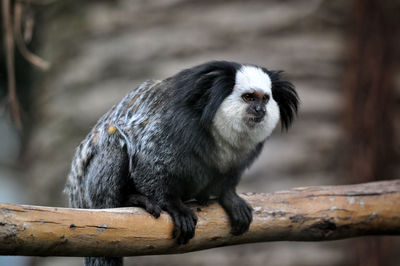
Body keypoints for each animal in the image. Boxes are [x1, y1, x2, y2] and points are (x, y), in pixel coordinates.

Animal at [64, 60, 298, 266]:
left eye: (265, 98)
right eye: (249, 97)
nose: (260, 110)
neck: (216, 130)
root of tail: (77, 199)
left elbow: (228, 177)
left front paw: (229, 197)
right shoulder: (174, 125)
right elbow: (149, 161)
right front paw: (173, 205)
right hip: (92, 196)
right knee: (115, 142)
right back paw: (130, 200)